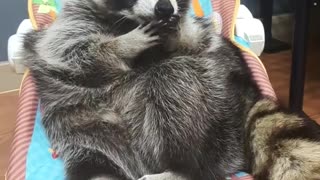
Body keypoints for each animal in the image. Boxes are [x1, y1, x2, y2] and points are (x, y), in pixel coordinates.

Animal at [23, 0, 262, 179]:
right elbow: (71, 51)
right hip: (79, 126)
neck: (129, 20)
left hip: (219, 120)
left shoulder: (200, 39)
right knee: (91, 158)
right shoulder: (72, 23)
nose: (165, 8)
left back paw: (183, 169)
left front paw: (175, 33)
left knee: (173, 77)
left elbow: (197, 44)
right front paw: (124, 45)